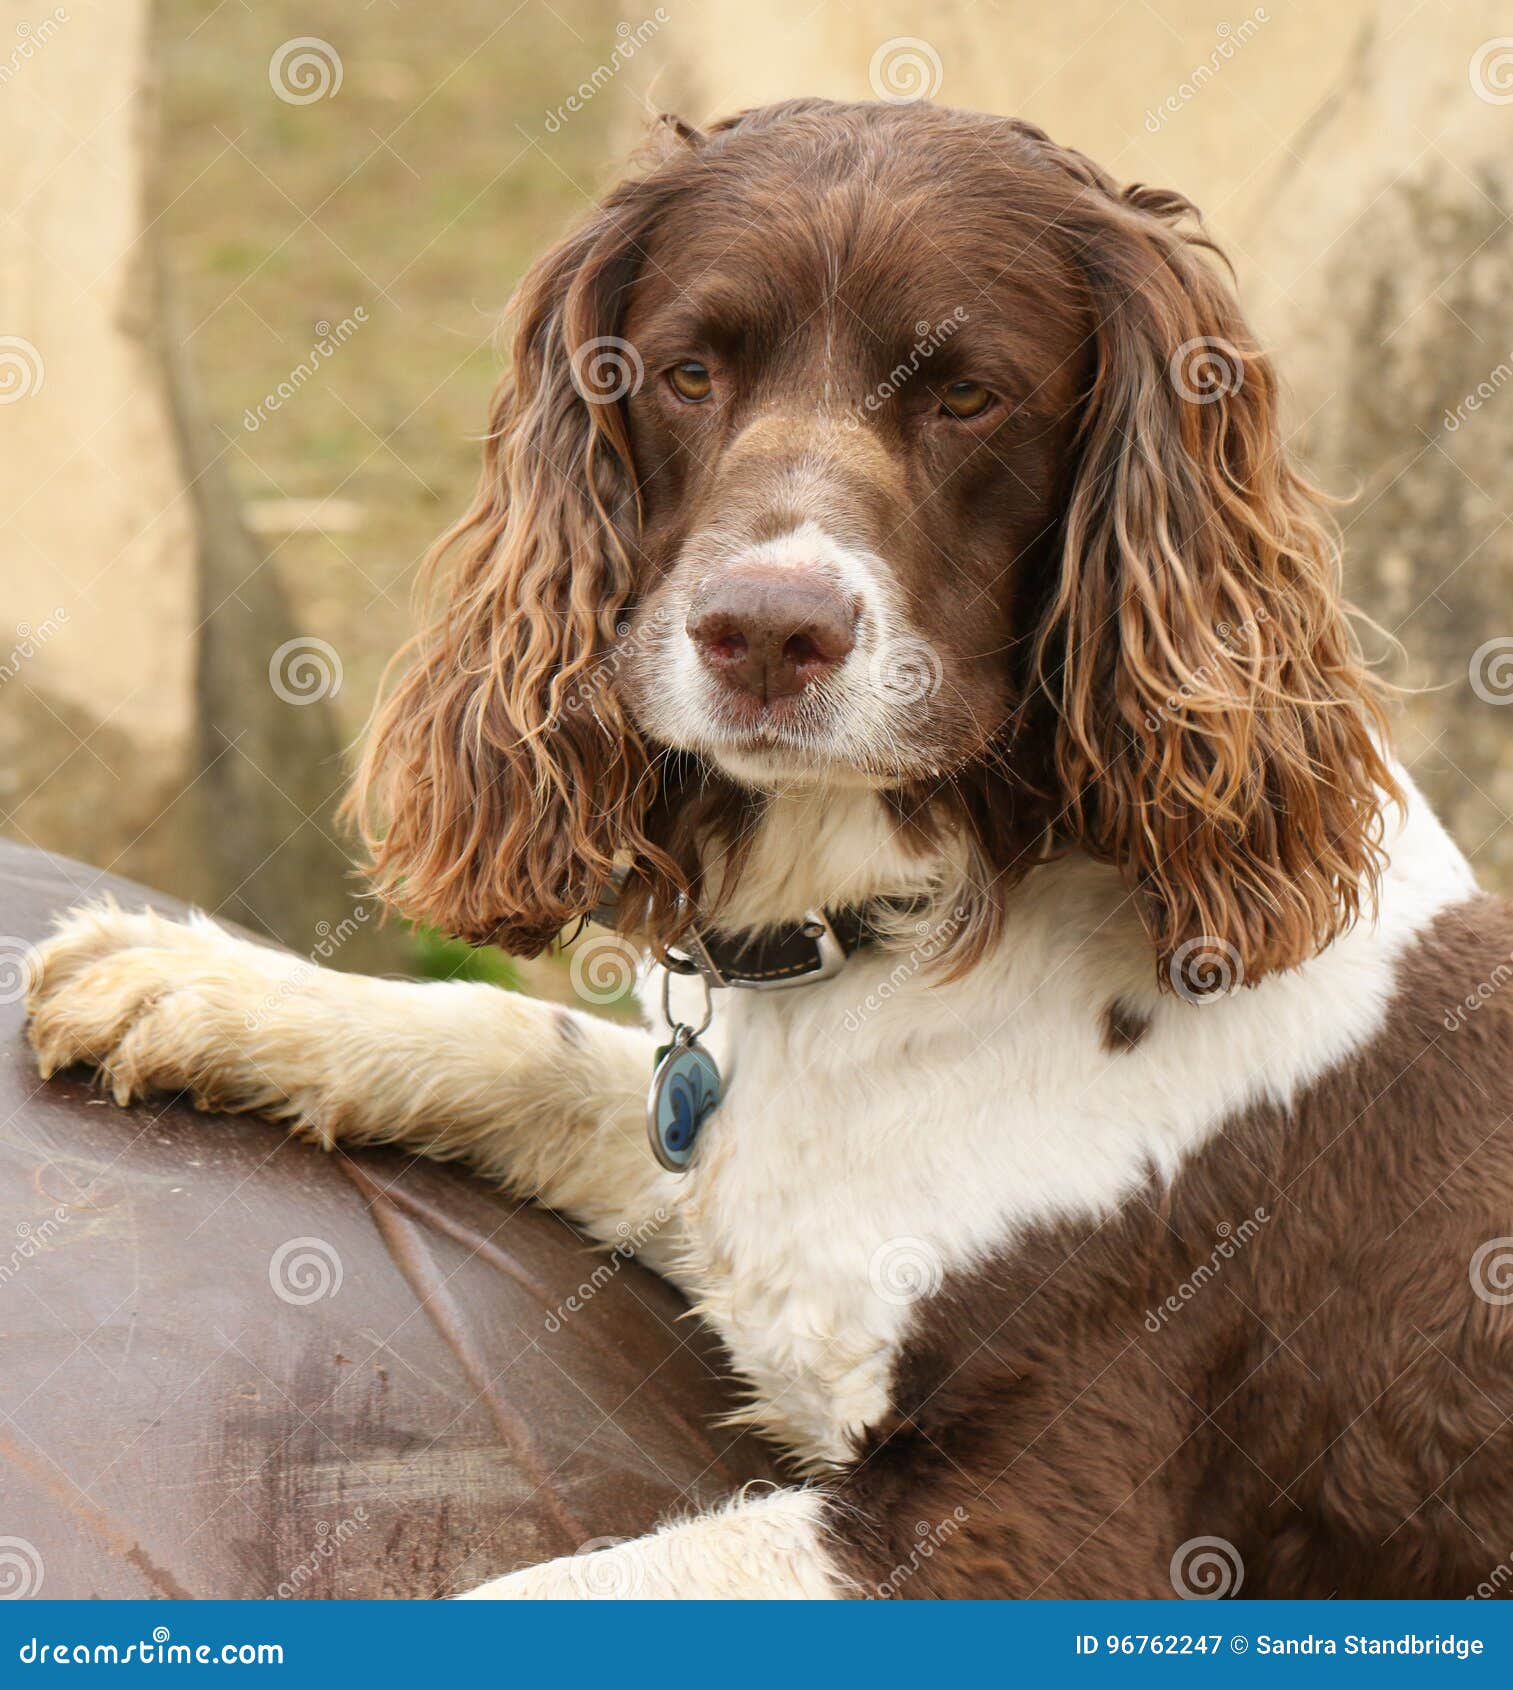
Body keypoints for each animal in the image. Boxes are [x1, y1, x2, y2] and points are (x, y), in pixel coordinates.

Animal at [23, 98, 1513, 1602]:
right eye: (685, 373)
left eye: (967, 396)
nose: (765, 630)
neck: (910, 919)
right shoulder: (746, 1202)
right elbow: (529, 1043)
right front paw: (191, 984)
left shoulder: (1040, 1521)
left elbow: (519, 1591)